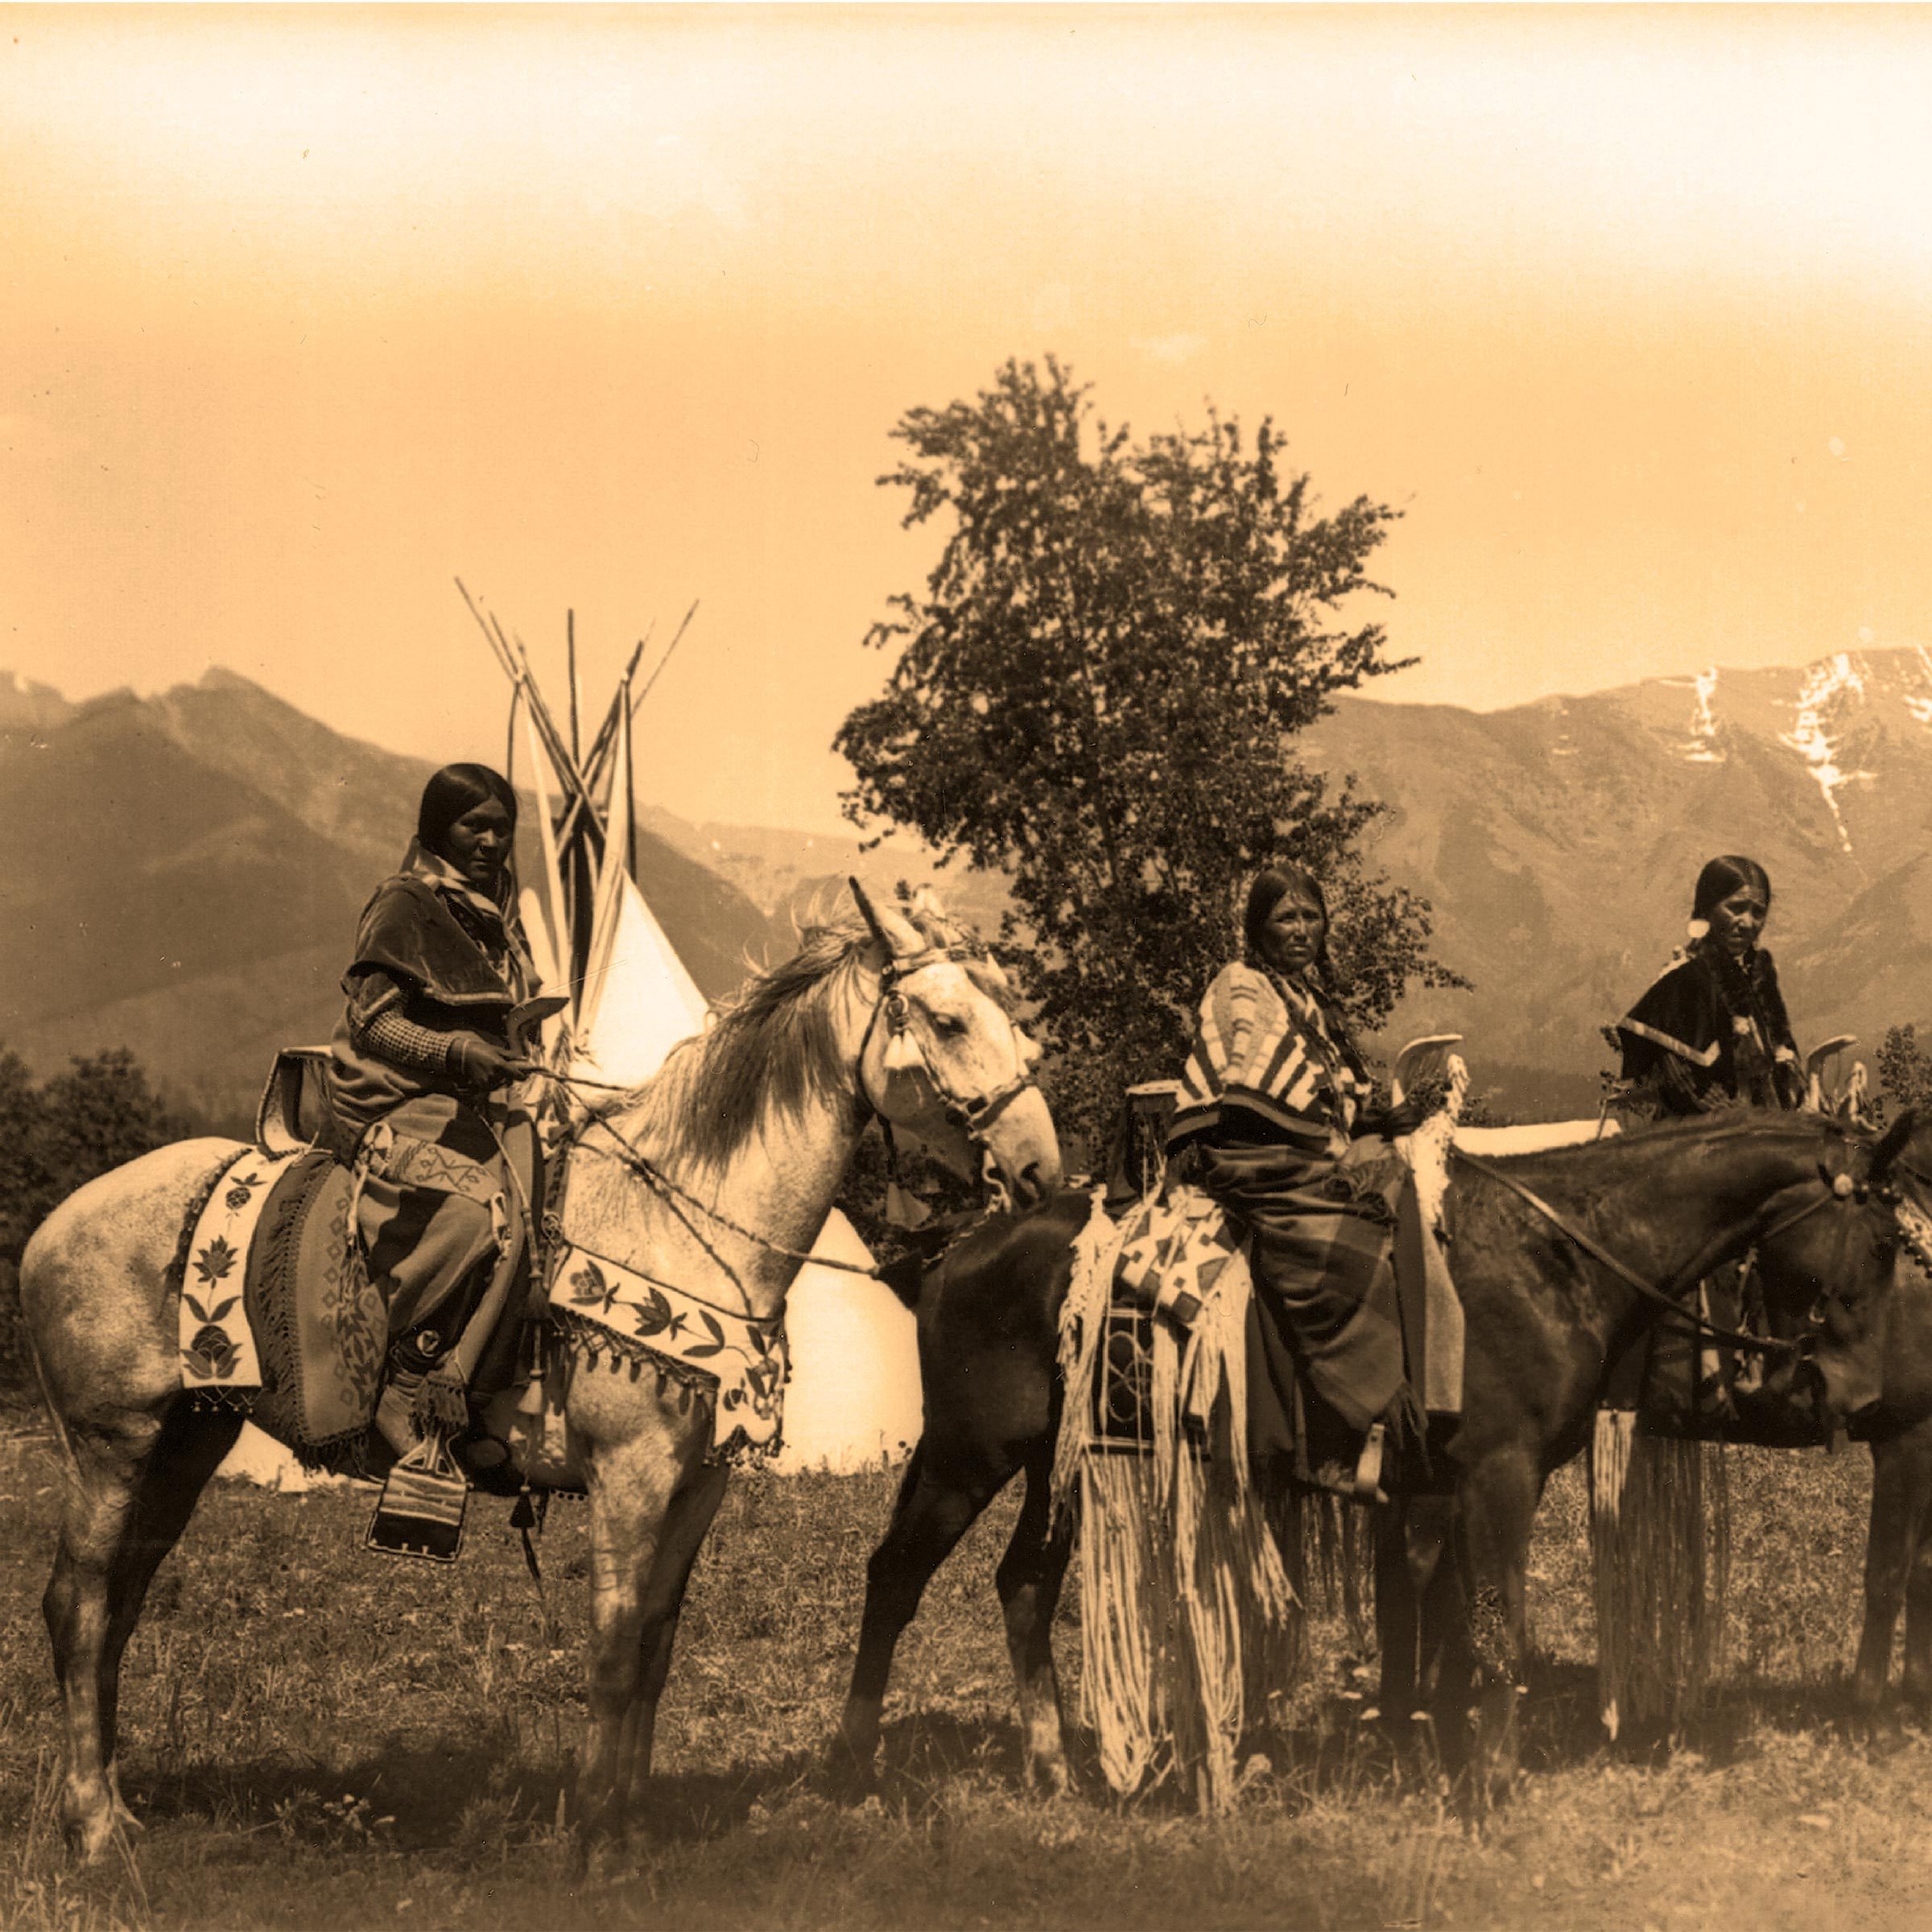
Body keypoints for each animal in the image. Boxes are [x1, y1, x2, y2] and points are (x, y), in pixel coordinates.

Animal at [19, 885, 1059, 1855]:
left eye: (1012, 1011)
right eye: (949, 1020)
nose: (1043, 1168)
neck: (680, 1221)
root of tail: (52, 1228)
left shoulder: (699, 1483)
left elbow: (656, 1643)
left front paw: (632, 1815)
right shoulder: (629, 1475)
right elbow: (612, 1647)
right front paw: (596, 1830)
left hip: (188, 1440)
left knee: (122, 1600)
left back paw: (111, 1804)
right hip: (112, 1443)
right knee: (79, 1603)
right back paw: (93, 1826)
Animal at [834, 1113, 1916, 1800]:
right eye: (1884, 1240)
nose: (1864, 1397)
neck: (1552, 1257)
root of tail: (950, 1256)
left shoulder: (1437, 1490)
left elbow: (1438, 1623)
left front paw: (1433, 1756)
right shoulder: (1500, 1476)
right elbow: (1494, 1622)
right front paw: (1492, 1782)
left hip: (1054, 1464)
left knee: (1022, 1583)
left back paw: (1056, 1766)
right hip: (968, 1453)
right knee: (894, 1578)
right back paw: (854, 1768)